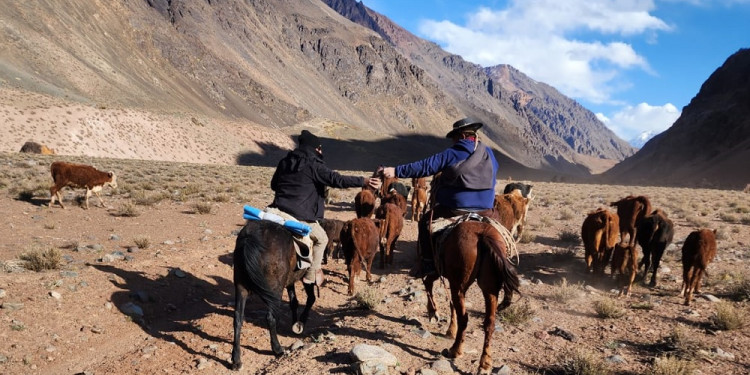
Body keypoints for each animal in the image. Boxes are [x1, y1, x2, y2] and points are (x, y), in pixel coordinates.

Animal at [426, 219, 520, 374]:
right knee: (489, 323)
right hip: (489, 288)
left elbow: (428, 283)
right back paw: (485, 364)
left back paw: (455, 350)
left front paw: (433, 313)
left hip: (459, 285)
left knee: (464, 318)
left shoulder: (438, 271)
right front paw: (450, 329)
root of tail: (483, 236)